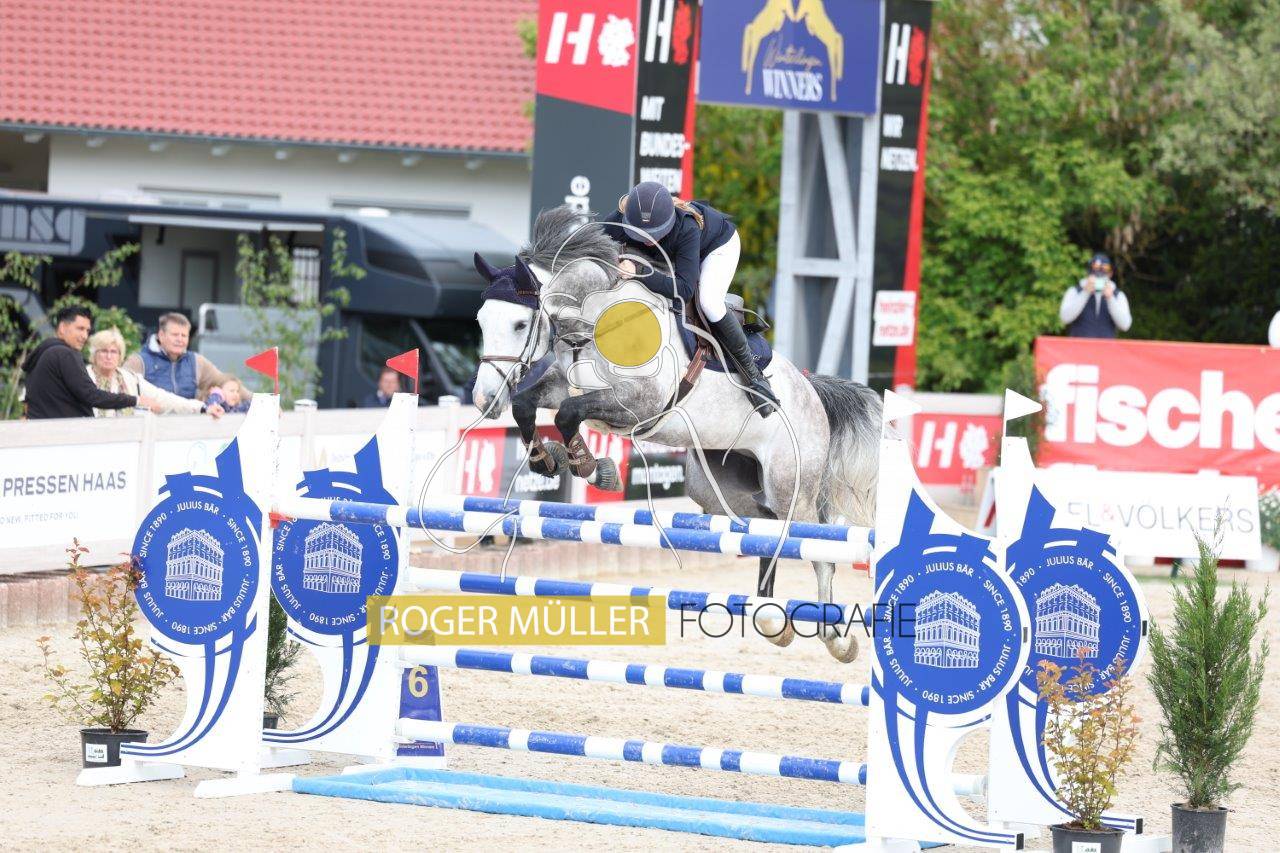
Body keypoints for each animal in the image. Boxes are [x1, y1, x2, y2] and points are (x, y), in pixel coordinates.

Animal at [472, 206, 880, 662]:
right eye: (481, 320)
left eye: (520, 323)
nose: (484, 399)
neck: (594, 318)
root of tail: (812, 390)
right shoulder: (567, 386)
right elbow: (529, 406)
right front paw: (552, 461)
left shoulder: (638, 403)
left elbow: (567, 415)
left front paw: (592, 468)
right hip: (723, 491)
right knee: (767, 535)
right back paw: (773, 622)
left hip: (791, 487)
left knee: (817, 550)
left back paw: (836, 638)